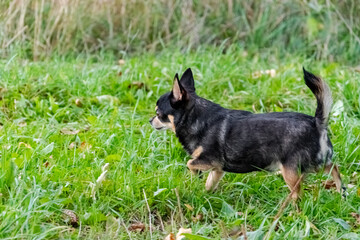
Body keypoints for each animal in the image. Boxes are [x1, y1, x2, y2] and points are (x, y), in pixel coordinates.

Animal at [149, 67, 344, 199]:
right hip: (316, 161)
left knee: (299, 193)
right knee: (333, 167)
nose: (150, 120)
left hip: (291, 171)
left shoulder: (210, 161)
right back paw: (342, 191)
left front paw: (196, 176)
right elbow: (209, 183)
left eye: (158, 114)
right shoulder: (218, 169)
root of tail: (316, 122)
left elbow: (190, 163)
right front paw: (205, 194)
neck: (194, 117)